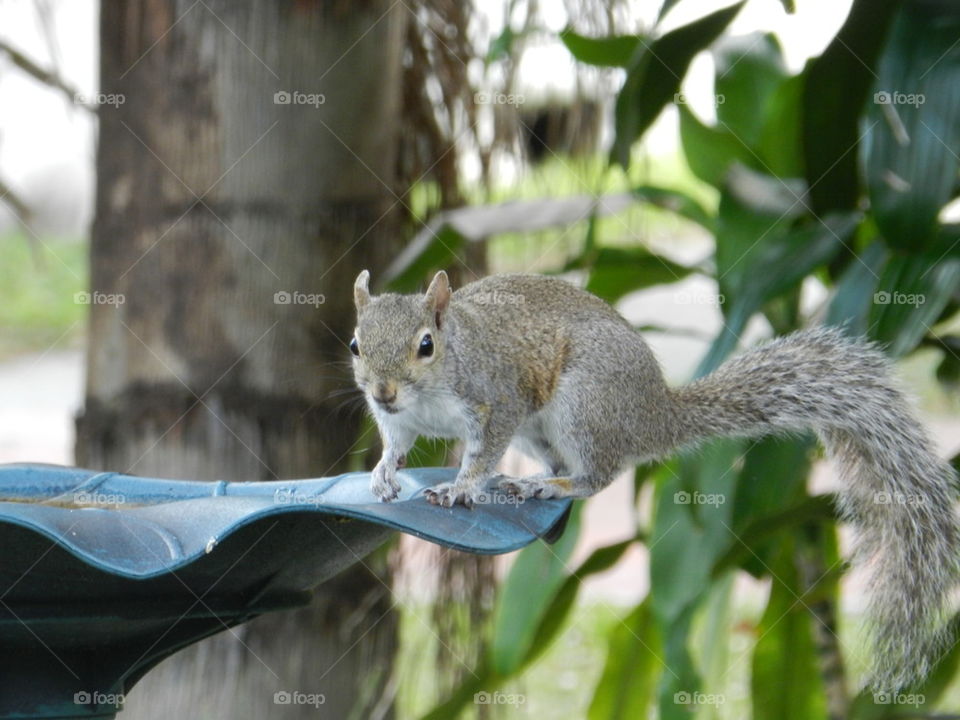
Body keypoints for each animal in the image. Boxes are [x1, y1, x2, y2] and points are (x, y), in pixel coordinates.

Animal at [351, 268, 959, 691]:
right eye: (355, 344)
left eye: (425, 345)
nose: (382, 391)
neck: (428, 394)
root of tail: (654, 415)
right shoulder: (399, 423)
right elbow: (395, 447)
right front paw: (381, 476)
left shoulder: (496, 402)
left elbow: (477, 454)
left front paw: (460, 486)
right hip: (540, 434)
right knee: (563, 464)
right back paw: (525, 481)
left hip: (581, 406)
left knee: (596, 474)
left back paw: (550, 486)